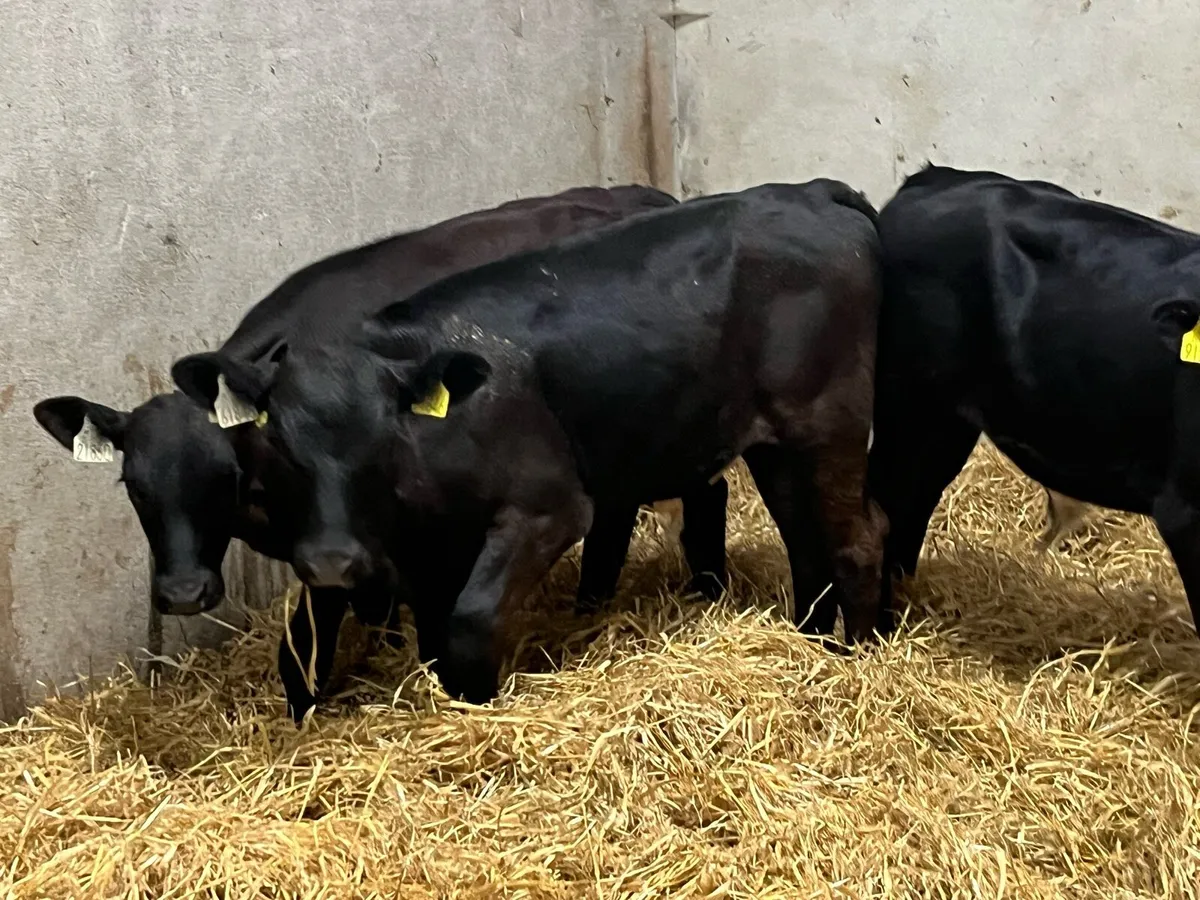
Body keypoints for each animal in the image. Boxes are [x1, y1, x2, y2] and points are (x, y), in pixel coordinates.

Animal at [174, 179, 887, 706]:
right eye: (279, 447)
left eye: (380, 443)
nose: (329, 563)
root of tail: (810, 192)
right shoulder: (433, 550)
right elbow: (435, 630)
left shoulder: (549, 507)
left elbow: (469, 620)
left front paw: (479, 707)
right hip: (775, 441)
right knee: (805, 539)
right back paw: (810, 643)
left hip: (831, 420)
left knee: (858, 536)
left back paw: (859, 655)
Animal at [869, 163, 1200, 636]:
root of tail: (938, 176)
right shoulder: (1185, 508)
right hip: (909, 402)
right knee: (886, 499)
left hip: (946, 422)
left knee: (914, 500)